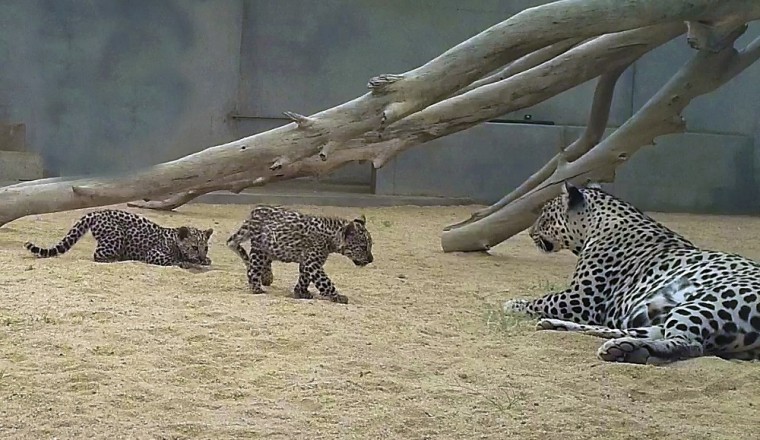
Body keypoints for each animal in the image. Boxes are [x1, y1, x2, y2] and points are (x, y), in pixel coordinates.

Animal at [25, 209, 214, 269]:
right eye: (194, 247)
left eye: (205, 247)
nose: (201, 256)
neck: (175, 240)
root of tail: (97, 212)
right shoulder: (153, 254)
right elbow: (172, 260)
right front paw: (187, 262)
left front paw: (205, 261)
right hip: (116, 238)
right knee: (97, 255)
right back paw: (114, 259)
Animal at [226, 205, 373, 304]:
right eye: (363, 247)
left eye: (370, 245)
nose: (371, 259)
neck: (332, 237)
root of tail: (255, 211)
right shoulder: (312, 263)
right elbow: (324, 281)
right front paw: (337, 296)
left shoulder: (307, 262)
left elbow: (304, 278)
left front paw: (301, 292)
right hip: (259, 249)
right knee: (253, 268)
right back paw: (257, 287)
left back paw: (266, 277)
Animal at [503, 181, 760, 365]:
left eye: (546, 214)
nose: (530, 232)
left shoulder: (582, 299)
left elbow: (543, 299)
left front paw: (515, 304)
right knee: (641, 331)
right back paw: (561, 327)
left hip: (706, 302)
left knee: (690, 344)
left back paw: (633, 351)